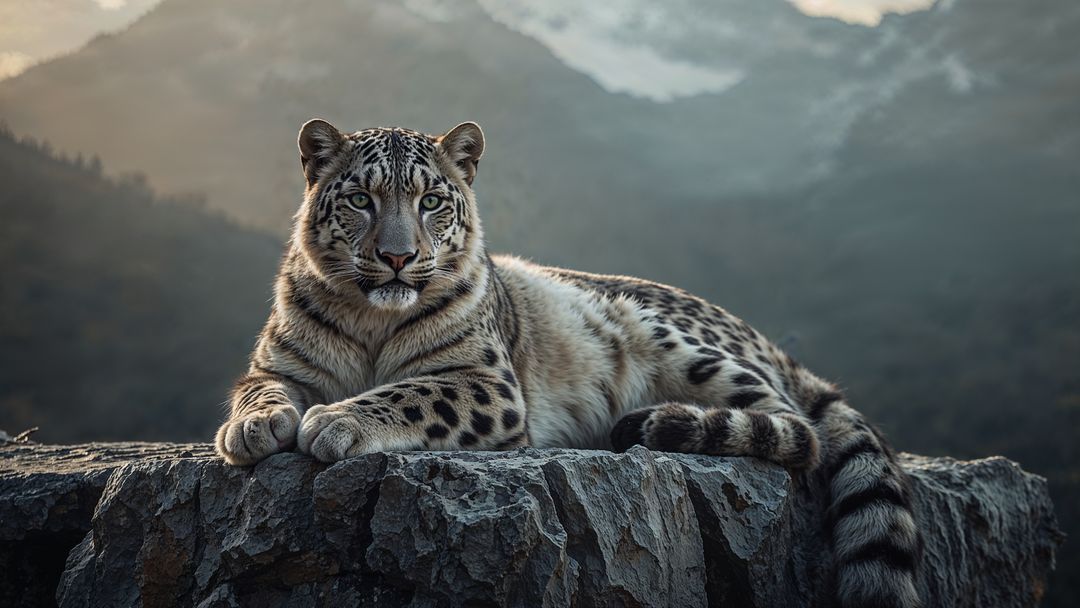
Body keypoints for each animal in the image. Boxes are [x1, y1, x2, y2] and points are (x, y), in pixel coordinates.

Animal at [214, 118, 921, 608]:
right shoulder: (277, 363)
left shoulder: (486, 383)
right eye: (360, 198)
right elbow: (257, 390)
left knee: (796, 429)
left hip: (679, 344)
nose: (396, 257)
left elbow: (410, 393)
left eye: (431, 201)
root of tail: (763, 338)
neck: (371, 322)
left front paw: (335, 422)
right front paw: (252, 427)